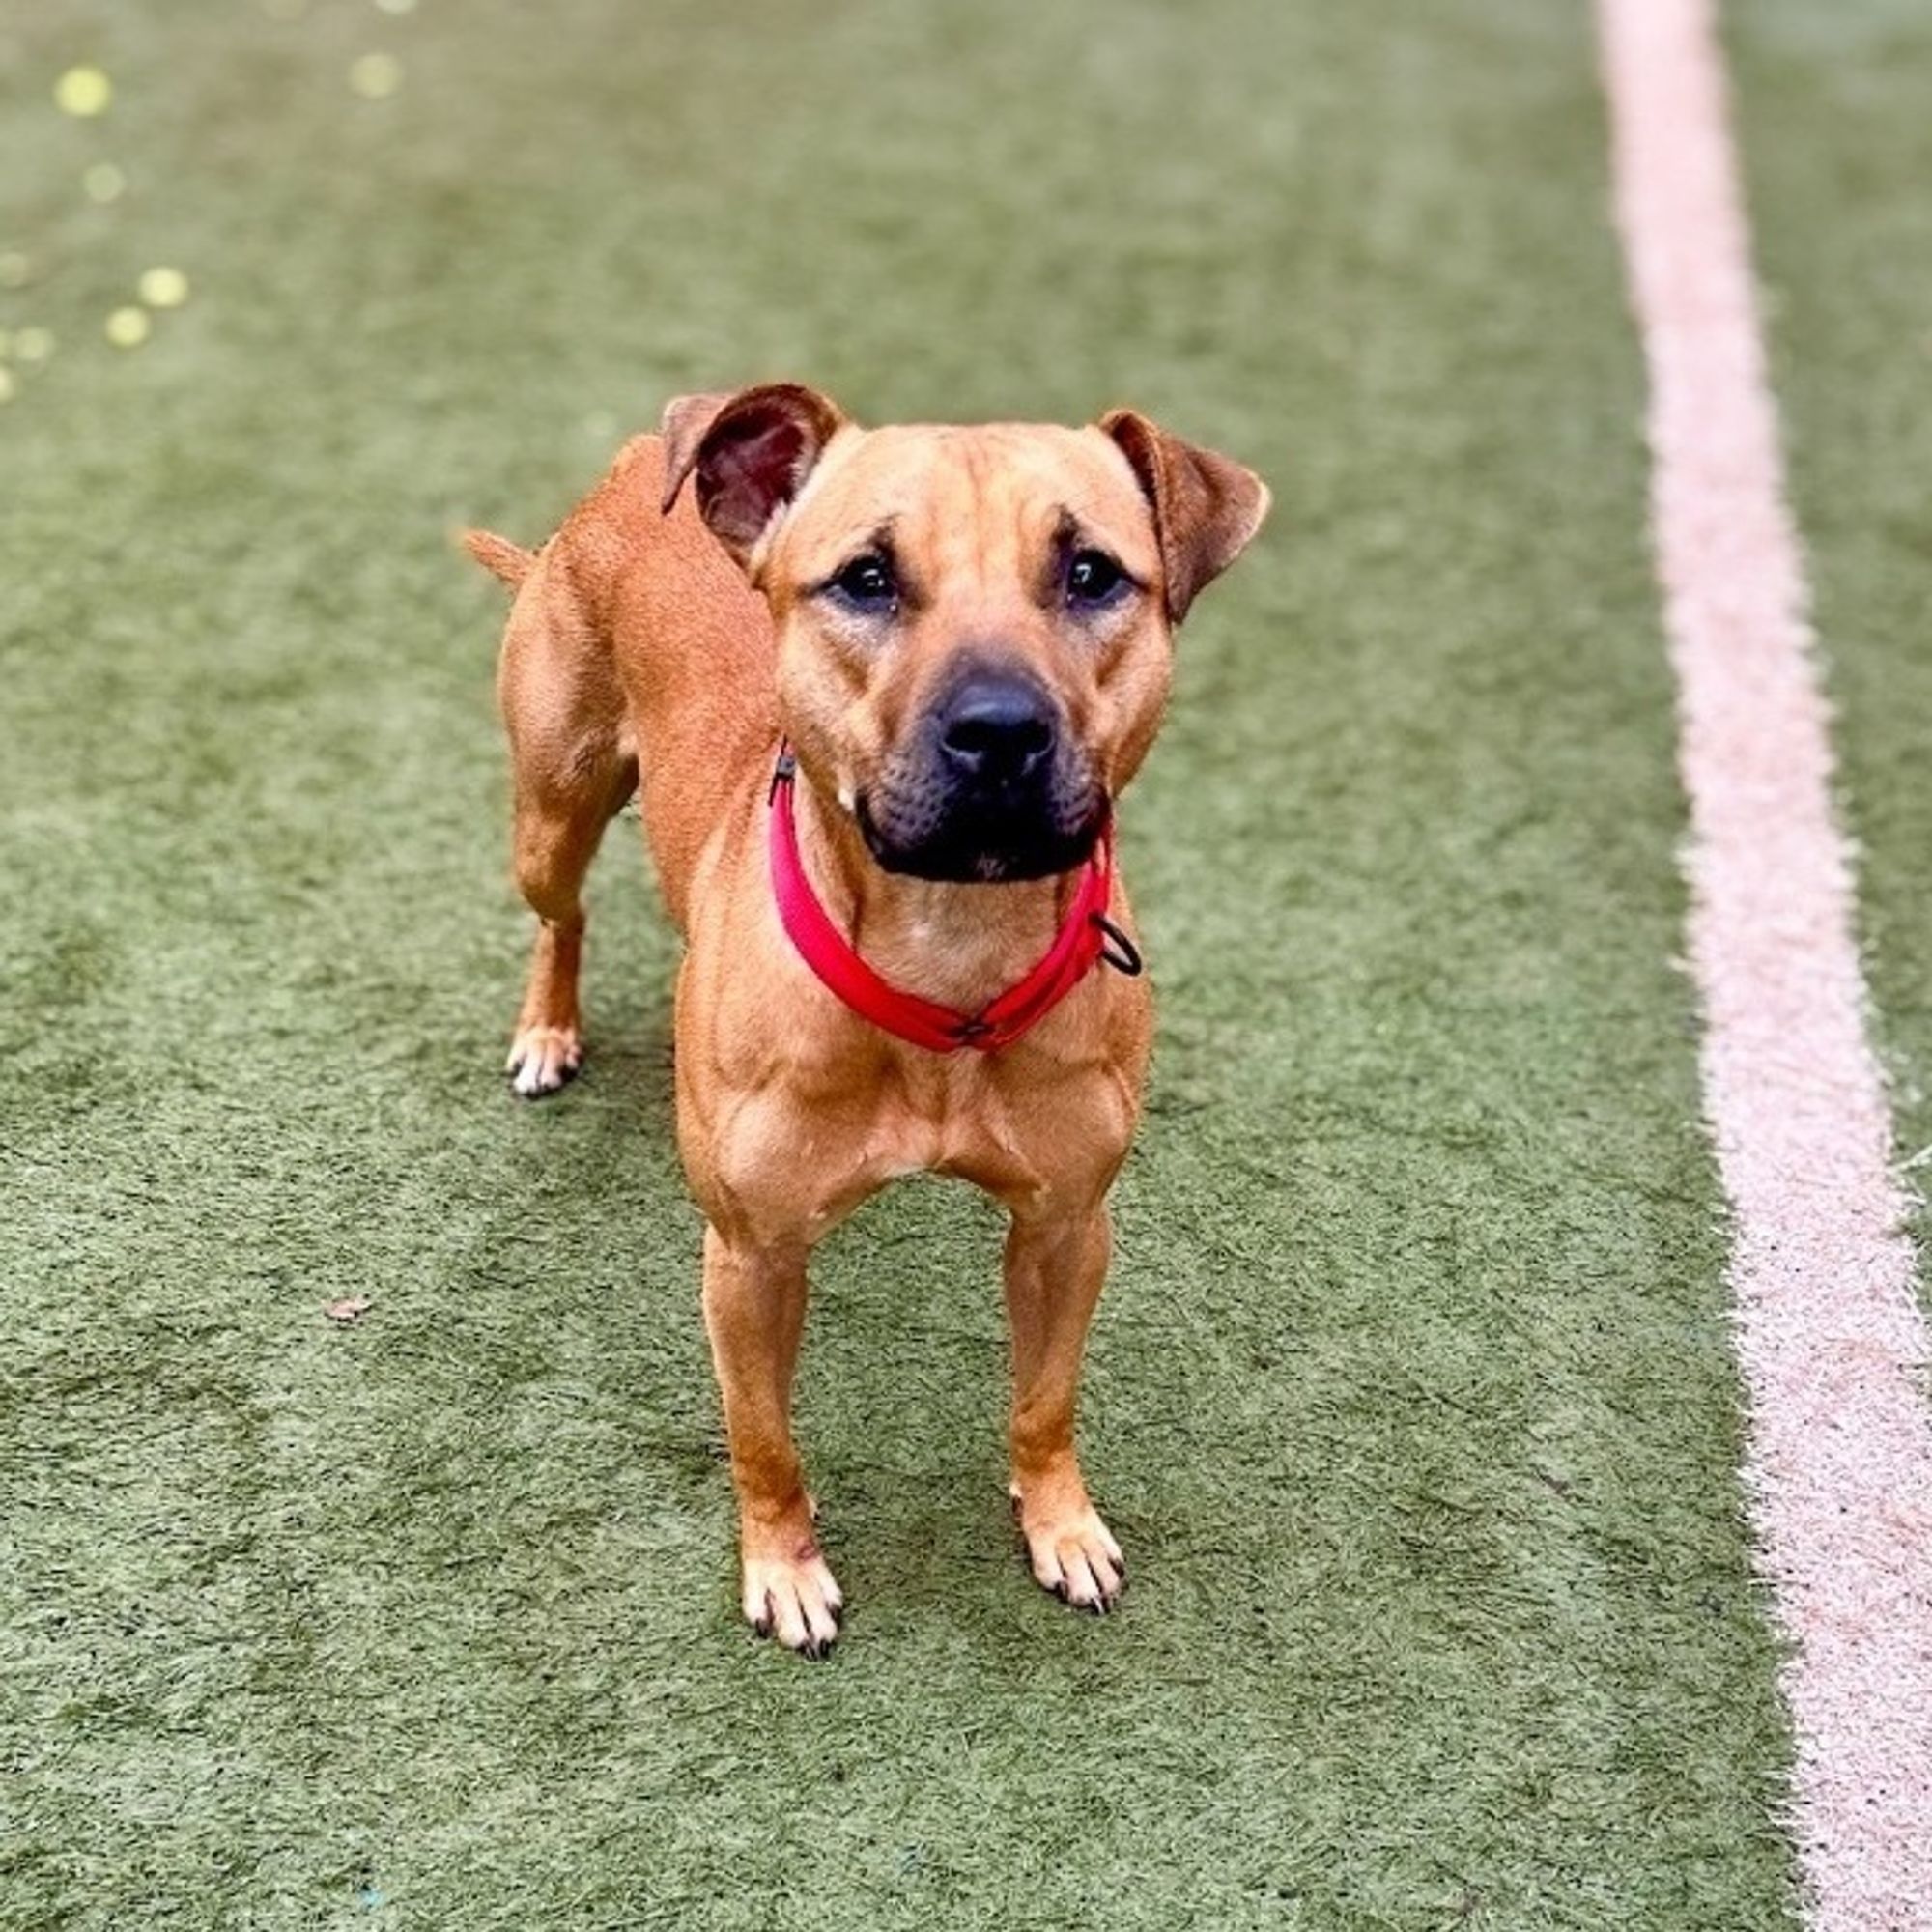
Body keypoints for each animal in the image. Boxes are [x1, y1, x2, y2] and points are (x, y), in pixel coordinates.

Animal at [460, 384, 1260, 1654]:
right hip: (553, 805)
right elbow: (763, 1437)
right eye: (866, 578)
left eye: (1090, 572)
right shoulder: (749, 1256)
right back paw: (547, 1030)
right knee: (560, 913)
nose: (997, 727)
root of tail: (634, 464)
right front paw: (783, 1567)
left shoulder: (1067, 1227)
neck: (948, 962)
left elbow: (1045, 1399)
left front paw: (1059, 1521)